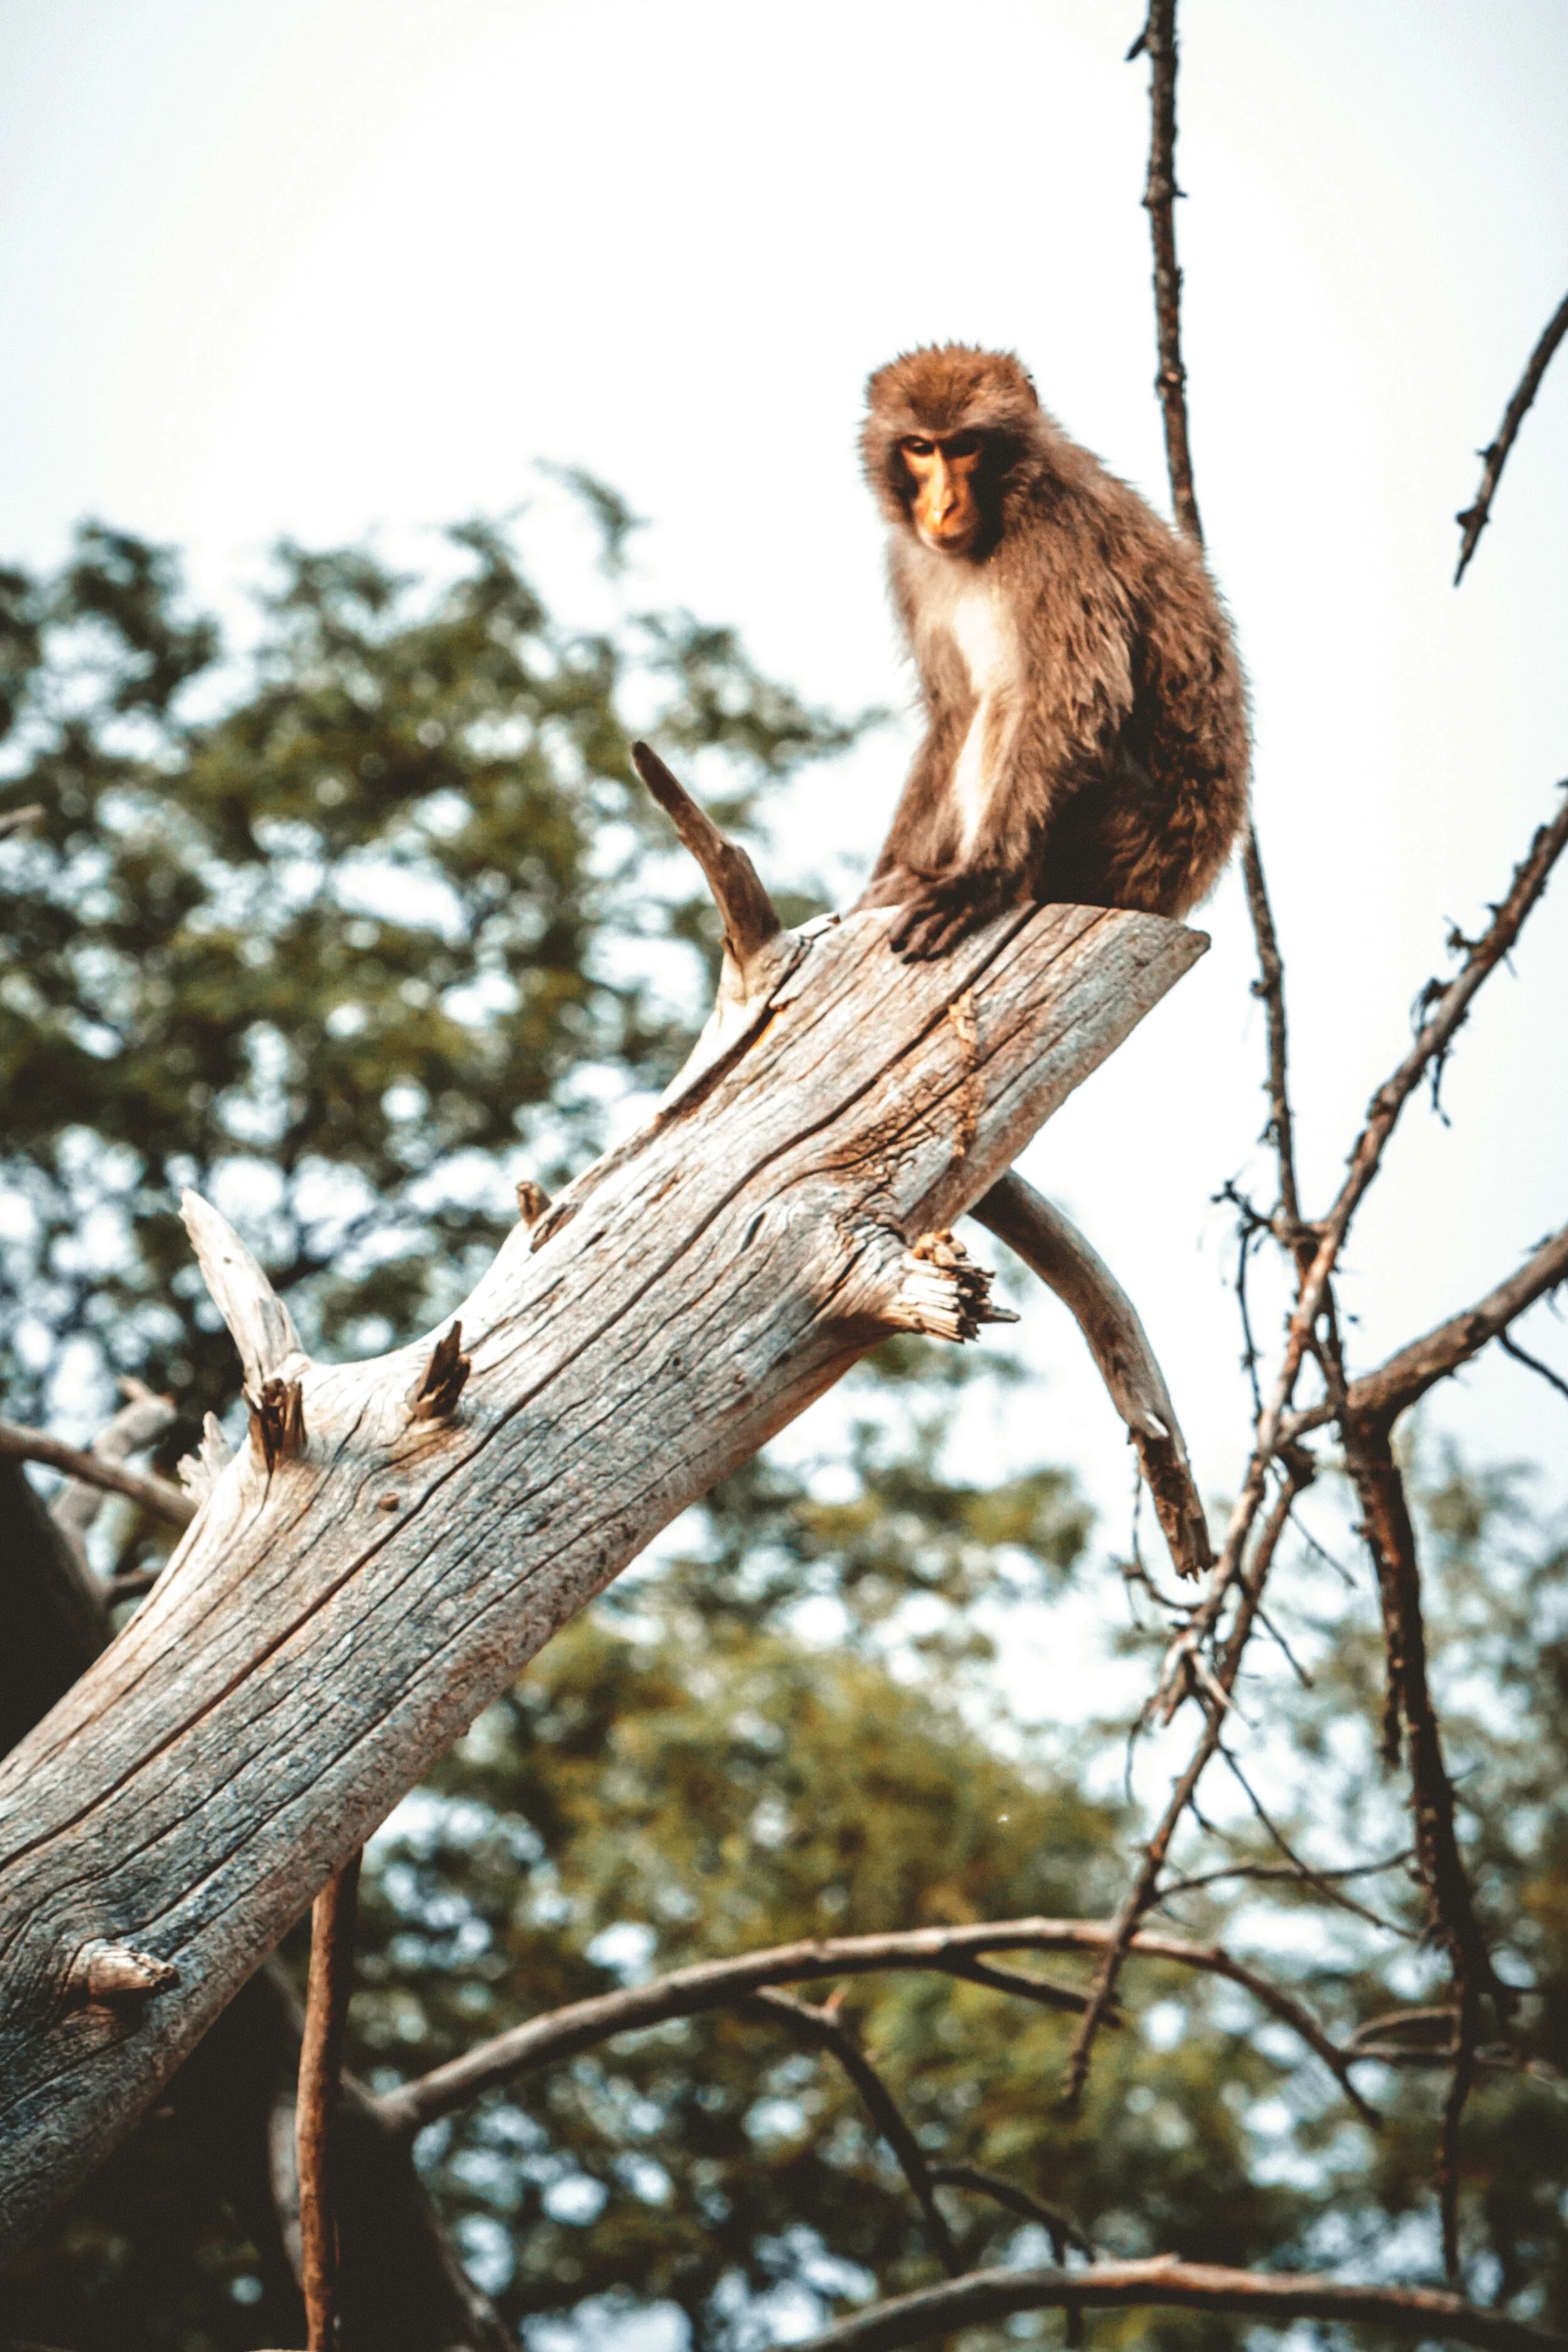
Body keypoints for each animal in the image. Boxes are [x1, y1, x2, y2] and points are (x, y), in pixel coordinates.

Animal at [855, 345, 1249, 959]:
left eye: (966, 446)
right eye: (920, 447)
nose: (942, 506)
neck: (1003, 512)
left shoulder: (1062, 536)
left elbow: (1076, 700)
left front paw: (977, 883)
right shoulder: (909, 565)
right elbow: (954, 716)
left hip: (1126, 840)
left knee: (1014, 704)